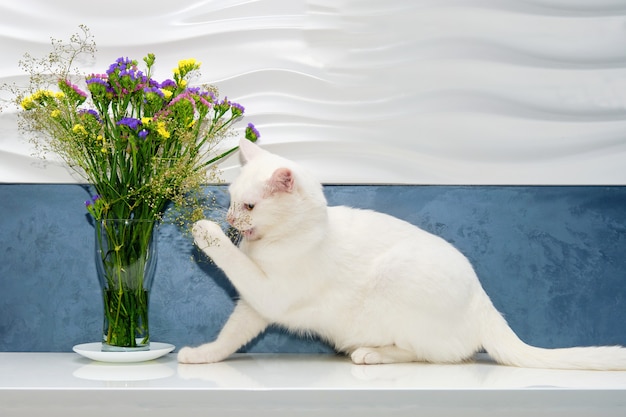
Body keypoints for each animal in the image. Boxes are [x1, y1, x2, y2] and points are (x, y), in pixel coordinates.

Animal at [178, 138, 624, 368]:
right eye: (230, 200)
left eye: (248, 206)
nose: (229, 219)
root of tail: (484, 302)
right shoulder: (253, 307)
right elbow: (229, 337)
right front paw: (202, 355)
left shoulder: (268, 293)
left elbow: (233, 262)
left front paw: (205, 231)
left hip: (397, 277)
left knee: (435, 355)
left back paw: (369, 353)